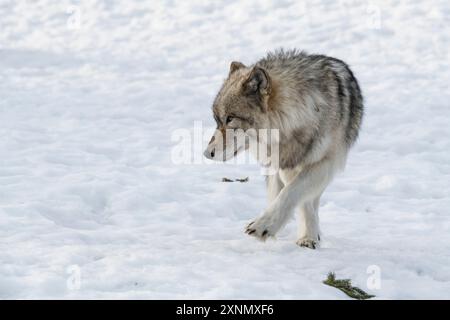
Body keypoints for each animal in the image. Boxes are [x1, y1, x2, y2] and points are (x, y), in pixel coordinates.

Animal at [203, 50, 362, 249]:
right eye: (217, 120)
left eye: (230, 118)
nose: (207, 153)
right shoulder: (284, 165)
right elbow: (296, 196)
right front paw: (304, 233)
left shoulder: (327, 162)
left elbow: (293, 193)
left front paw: (266, 226)